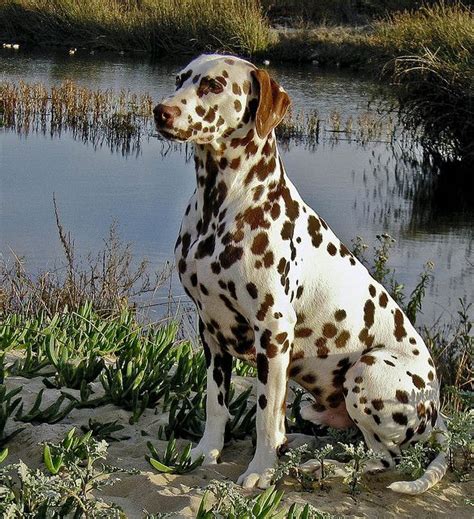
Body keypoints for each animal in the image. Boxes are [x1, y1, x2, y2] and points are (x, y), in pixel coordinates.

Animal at [154, 53, 446, 496]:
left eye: (214, 85)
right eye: (179, 80)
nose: (161, 111)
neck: (219, 206)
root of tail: (438, 407)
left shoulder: (273, 333)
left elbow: (263, 414)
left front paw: (261, 470)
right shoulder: (211, 330)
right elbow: (216, 403)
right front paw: (206, 452)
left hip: (367, 371)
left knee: (383, 457)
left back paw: (324, 468)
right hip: (318, 400)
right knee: (340, 437)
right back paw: (301, 445)